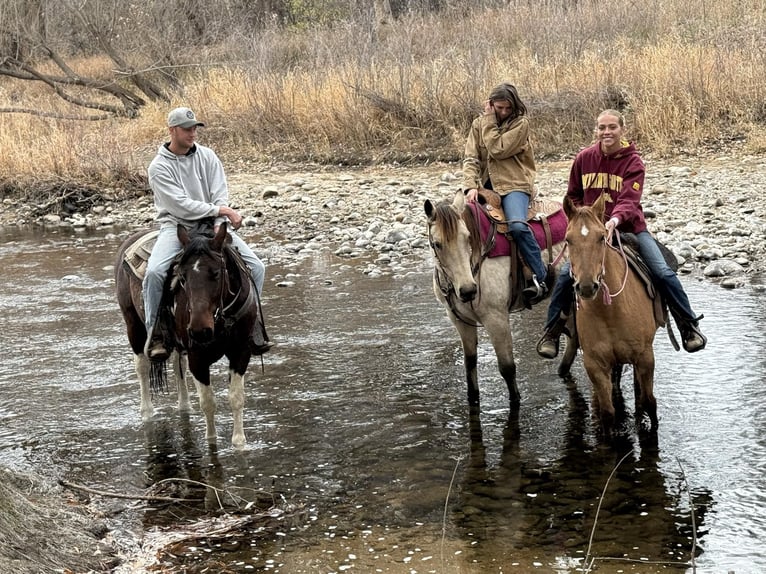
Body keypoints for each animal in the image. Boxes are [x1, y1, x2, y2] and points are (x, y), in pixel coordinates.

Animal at [115, 220, 260, 449]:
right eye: (182, 277)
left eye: (216, 273)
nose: (200, 331)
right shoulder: (198, 357)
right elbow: (208, 403)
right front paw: (211, 442)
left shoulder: (240, 352)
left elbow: (236, 397)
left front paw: (239, 443)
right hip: (134, 327)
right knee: (142, 367)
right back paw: (147, 413)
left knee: (177, 366)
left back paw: (184, 407)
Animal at [424, 189, 570, 407]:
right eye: (437, 244)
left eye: (467, 237)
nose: (468, 290)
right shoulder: (459, 321)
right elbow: (470, 364)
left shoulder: (496, 319)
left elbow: (507, 368)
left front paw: (516, 402)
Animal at [563, 193, 659, 438]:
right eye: (568, 239)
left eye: (600, 237)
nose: (587, 287)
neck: (610, 313)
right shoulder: (595, 364)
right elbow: (607, 413)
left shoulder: (645, 357)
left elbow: (650, 403)